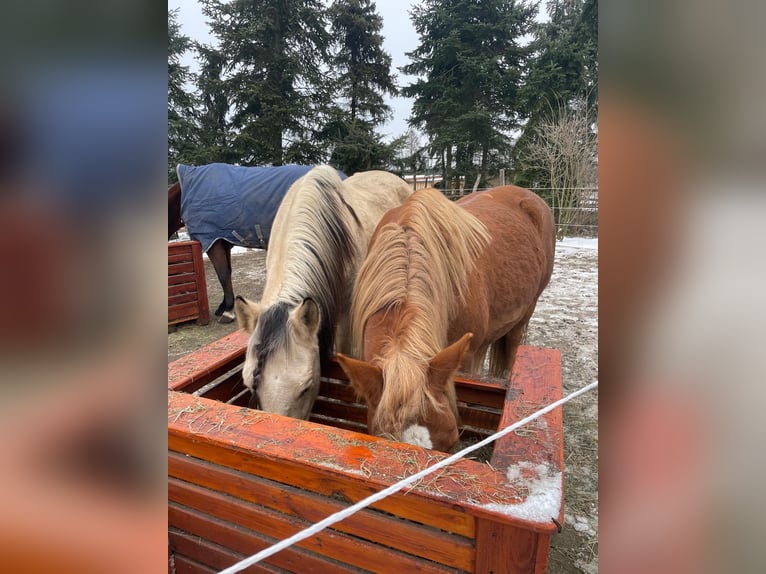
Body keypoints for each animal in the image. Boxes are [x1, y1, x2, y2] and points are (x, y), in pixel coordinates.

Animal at [170, 164, 340, 322]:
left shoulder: (213, 241)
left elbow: (223, 275)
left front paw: (228, 311)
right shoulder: (224, 242)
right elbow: (227, 272)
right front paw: (224, 306)